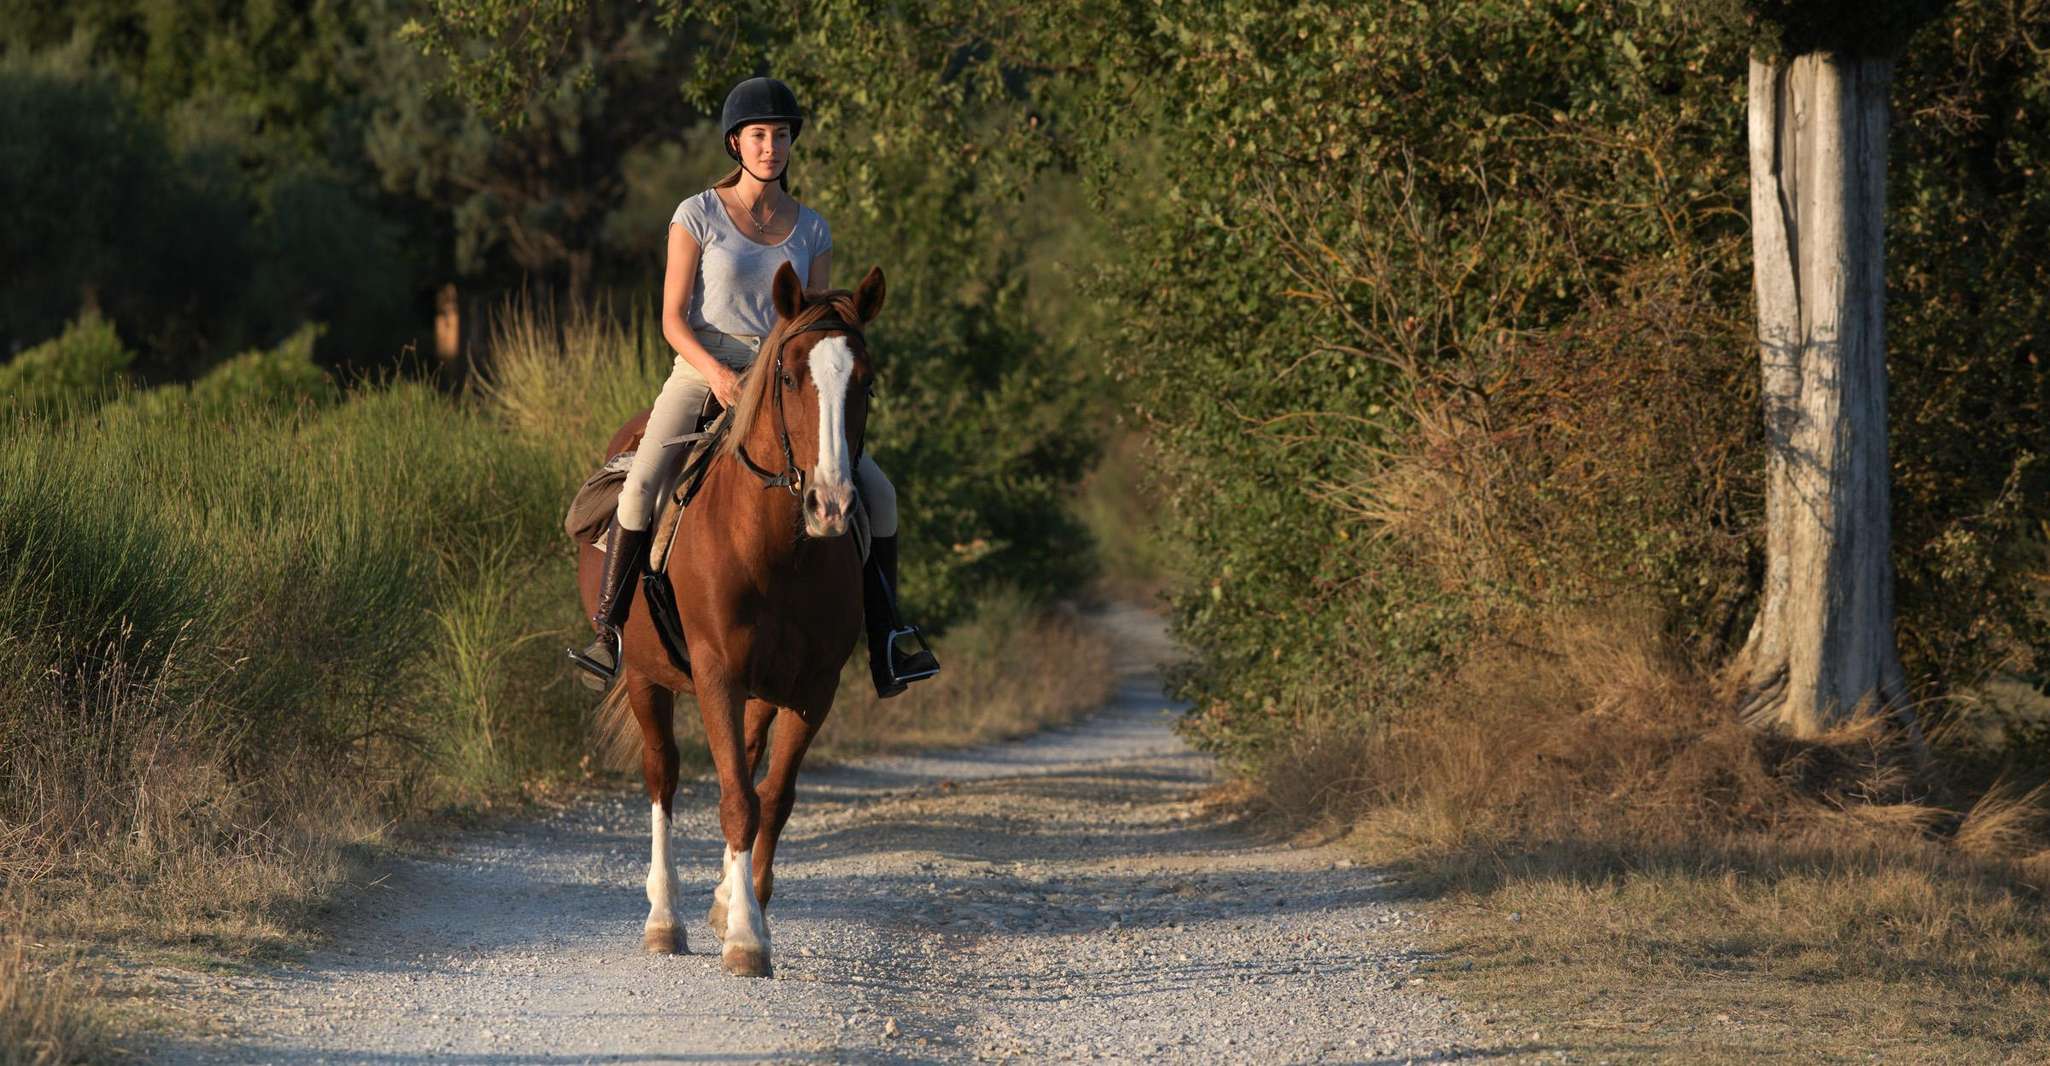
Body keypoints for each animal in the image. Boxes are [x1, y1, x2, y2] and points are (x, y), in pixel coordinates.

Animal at [578, 262, 881, 979]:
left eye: (866, 380)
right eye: (790, 377)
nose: (830, 504)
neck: (776, 546)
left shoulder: (812, 688)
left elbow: (772, 796)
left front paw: (742, 911)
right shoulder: (717, 674)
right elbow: (736, 799)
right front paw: (745, 938)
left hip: (760, 692)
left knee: (740, 761)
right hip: (645, 679)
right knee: (663, 775)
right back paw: (665, 921)